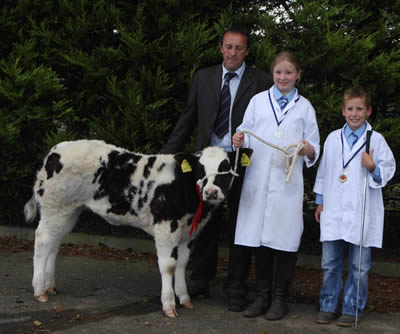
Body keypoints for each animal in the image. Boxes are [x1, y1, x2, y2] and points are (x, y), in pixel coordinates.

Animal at [24, 140, 250, 318]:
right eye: (200, 169)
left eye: (225, 168)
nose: (211, 192)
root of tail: (55, 151)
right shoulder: (165, 228)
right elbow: (169, 266)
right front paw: (169, 305)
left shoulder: (187, 233)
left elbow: (182, 264)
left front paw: (185, 298)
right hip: (54, 207)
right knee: (43, 241)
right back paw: (39, 291)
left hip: (69, 211)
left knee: (54, 242)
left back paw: (49, 286)